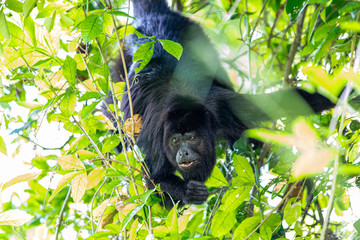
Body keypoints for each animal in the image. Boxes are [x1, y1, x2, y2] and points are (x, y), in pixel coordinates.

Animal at [108, 0, 336, 208]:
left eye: (191, 138)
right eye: (174, 141)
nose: (183, 153)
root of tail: (154, 20)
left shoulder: (221, 106)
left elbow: (283, 103)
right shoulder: (156, 134)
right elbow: (154, 177)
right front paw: (189, 193)